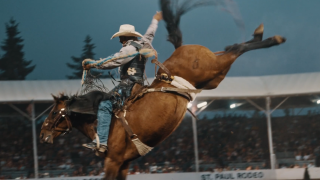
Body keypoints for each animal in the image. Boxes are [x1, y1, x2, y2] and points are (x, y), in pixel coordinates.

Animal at [38, 0, 286, 179]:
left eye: (53, 112)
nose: (41, 135)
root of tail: (181, 48)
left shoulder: (113, 160)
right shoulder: (125, 163)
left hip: (211, 68)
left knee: (236, 48)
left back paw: (272, 37)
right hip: (214, 77)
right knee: (234, 49)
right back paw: (263, 34)